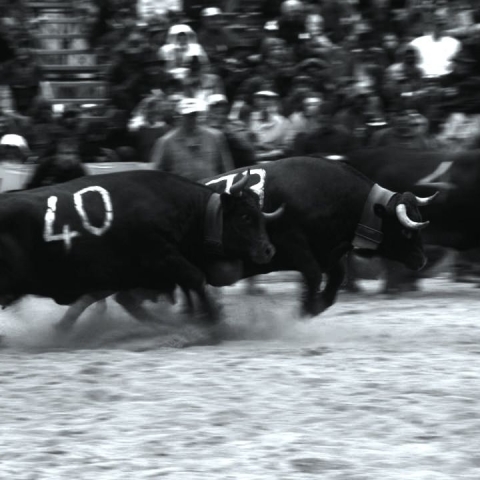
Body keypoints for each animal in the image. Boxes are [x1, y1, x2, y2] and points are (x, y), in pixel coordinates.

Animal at [62, 158, 434, 326]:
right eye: (406, 230)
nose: (422, 260)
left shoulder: (329, 253)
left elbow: (334, 282)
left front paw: (314, 306)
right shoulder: (296, 248)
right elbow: (314, 277)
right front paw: (304, 308)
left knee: (118, 298)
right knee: (106, 297)